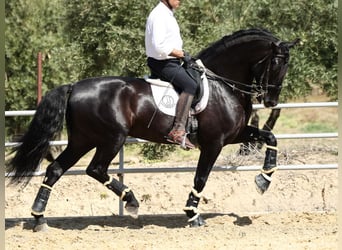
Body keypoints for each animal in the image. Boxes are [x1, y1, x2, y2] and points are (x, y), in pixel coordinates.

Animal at [6, 28, 298, 230]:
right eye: (275, 63)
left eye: (287, 65)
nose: (271, 101)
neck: (222, 85)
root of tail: (74, 86)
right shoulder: (214, 142)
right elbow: (201, 178)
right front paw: (193, 215)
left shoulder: (235, 135)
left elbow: (270, 137)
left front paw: (263, 181)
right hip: (111, 138)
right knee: (95, 169)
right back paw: (131, 201)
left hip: (82, 140)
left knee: (56, 169)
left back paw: (39, 218)